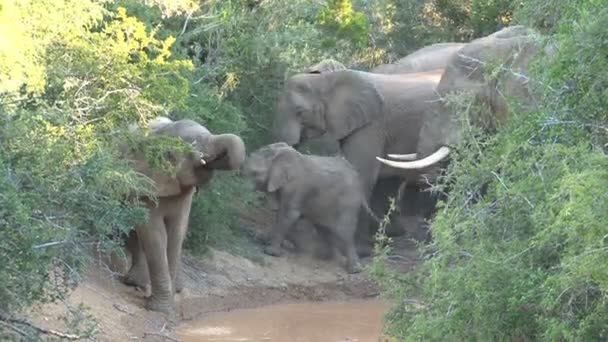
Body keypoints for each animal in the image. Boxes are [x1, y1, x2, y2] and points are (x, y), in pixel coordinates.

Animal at [121, 116, 245, 314]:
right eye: (193, 144)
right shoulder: (145, 180)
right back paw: (135, 282)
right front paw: (160, 309)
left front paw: (168, 306)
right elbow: (156, 234)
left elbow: (177, 233)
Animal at [241, 142, 376, 272]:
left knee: (344, 232)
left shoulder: (296, 187)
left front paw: (270, 252)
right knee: (324, 229)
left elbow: (289, 215)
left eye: (255, 173)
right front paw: (261, 238)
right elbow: (281, 213)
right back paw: (326, 257)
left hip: (348, 201)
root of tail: (359, 181)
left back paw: (354, 269)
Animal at [274, 67, 442, 255]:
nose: (287, 246)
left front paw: (361, 251)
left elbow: (361, 175)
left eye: (300, 112)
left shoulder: (371, 126)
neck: (326, 79)